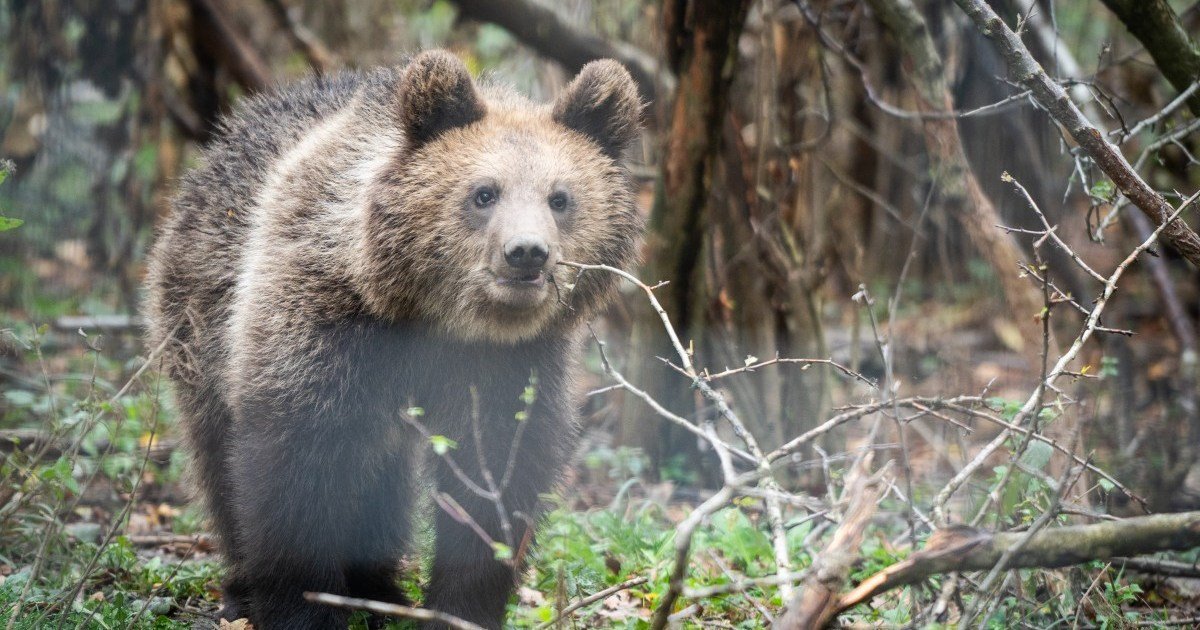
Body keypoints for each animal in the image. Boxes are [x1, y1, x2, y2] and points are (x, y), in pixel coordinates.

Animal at [144, 50, 643, 628]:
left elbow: (496, 475)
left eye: (560, 198)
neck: (436, 318)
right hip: (200, 317)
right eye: (484, 193)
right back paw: (245, 585)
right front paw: (305, 608)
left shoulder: (509, 363)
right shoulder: (324, 328)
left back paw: (381, 587)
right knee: (218, 452)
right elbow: (294, 465)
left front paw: (461, 607)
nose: (526, 253)